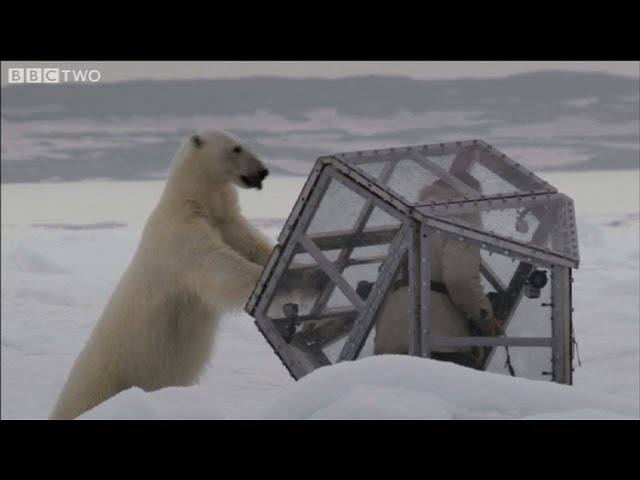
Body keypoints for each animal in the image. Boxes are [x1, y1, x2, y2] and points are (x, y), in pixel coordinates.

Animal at [50, 130, 275, 420]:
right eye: (236, 149)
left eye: (248, 144)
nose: (262, 171)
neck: (191, 200)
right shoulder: (181, 235)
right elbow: (218, 266)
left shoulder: (227, 224)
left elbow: (255, 246)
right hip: (106, 381)